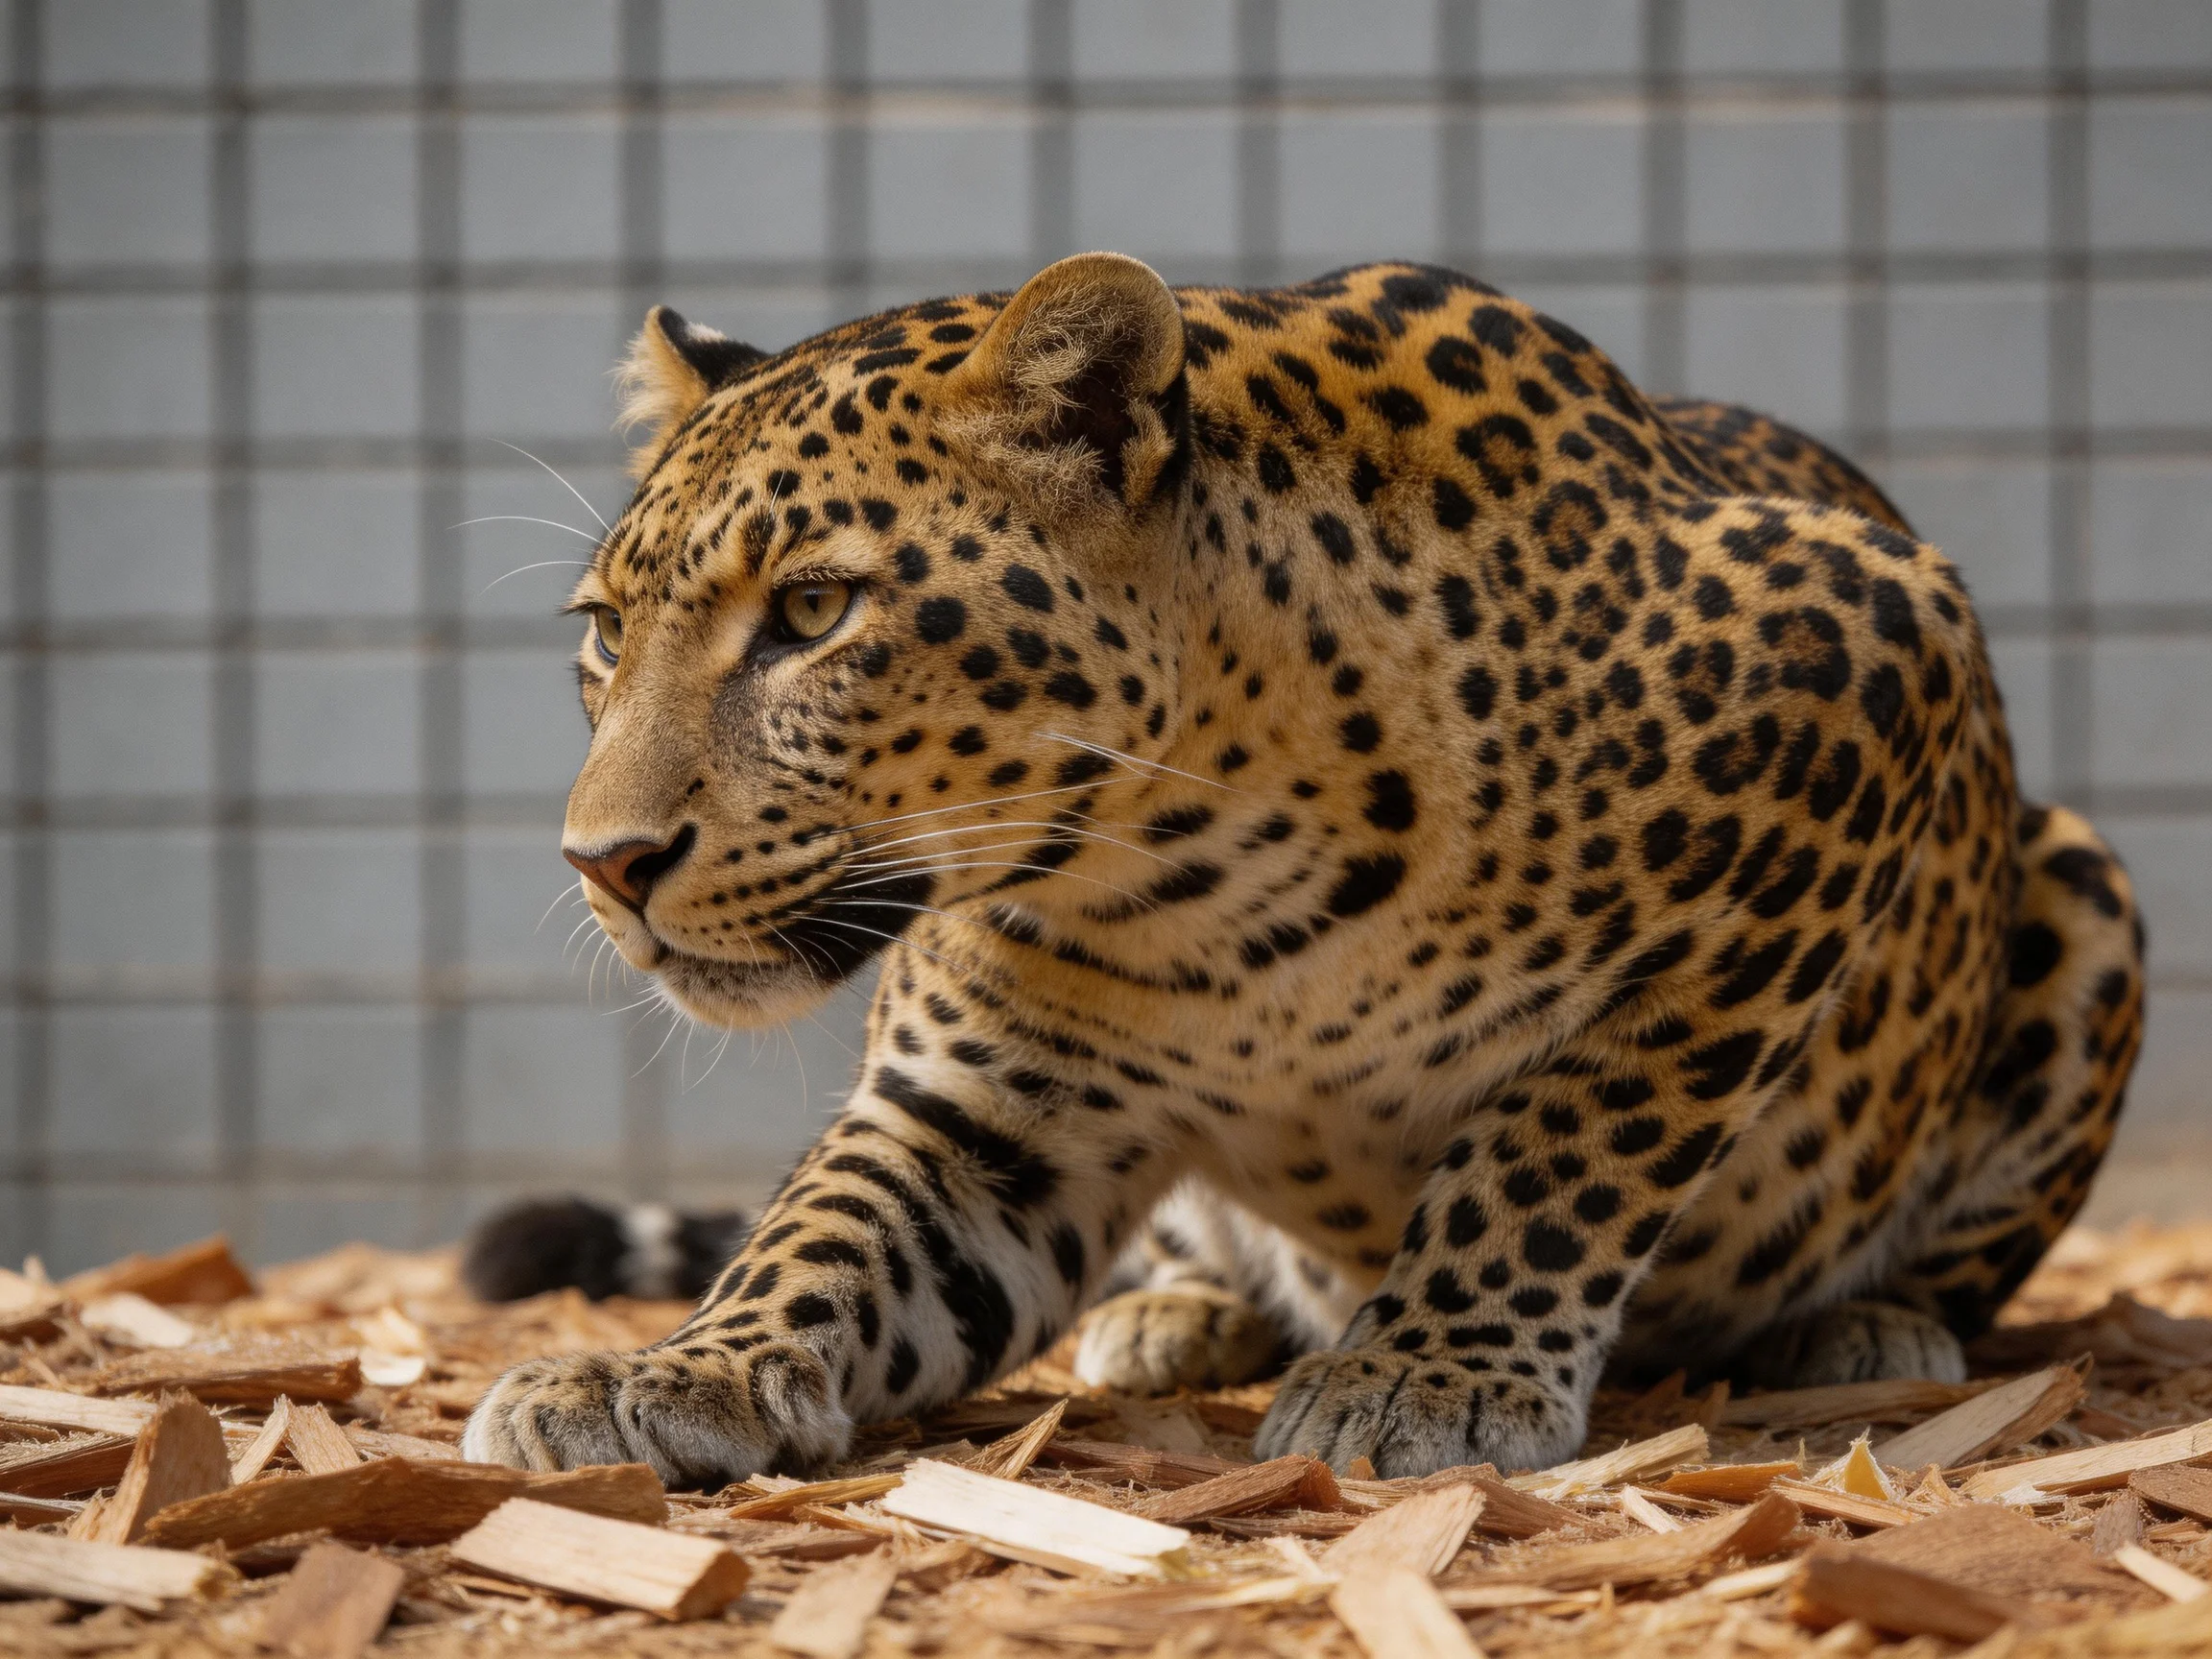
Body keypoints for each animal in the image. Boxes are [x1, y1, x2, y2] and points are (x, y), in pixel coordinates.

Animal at [462, 253, 2144, 1483]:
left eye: (815, 611)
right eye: (604, 634)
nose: (604, 863)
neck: (1208, 872)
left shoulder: (1863, 664)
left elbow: (1573, 1136)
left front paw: (1430, 1373)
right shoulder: (978, 1112)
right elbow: (823, 1227)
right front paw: (668, 1368)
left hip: (2084, 887)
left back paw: (1868, 1328)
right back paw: (1176, 1314)